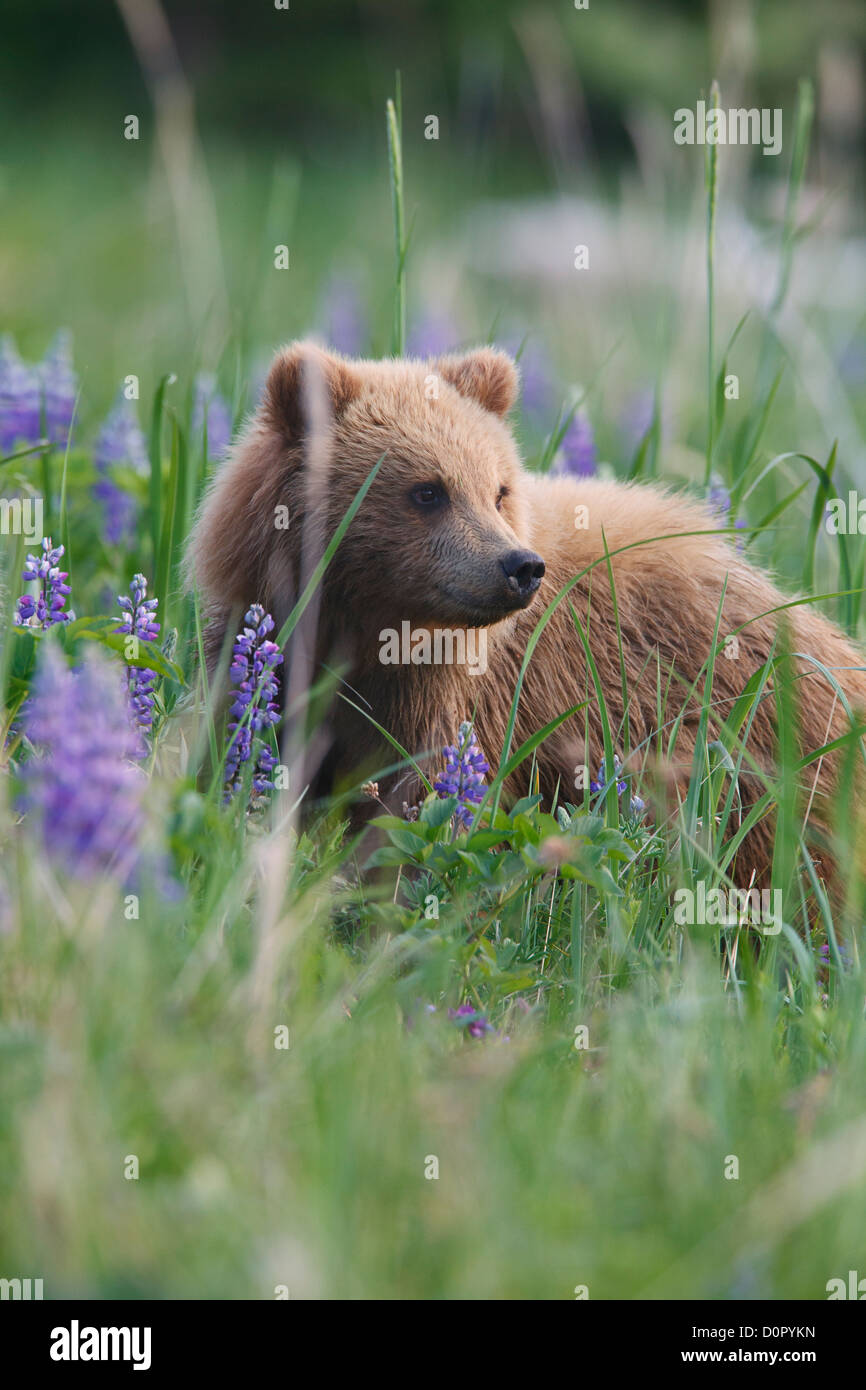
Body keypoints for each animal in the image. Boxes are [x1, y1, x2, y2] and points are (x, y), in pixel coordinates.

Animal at [187, 341, 866, 894]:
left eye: (498, 489)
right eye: (428, 490)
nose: (520, 566)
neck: (369, 629)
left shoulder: (461, 705)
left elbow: (422, 808)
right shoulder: (267, 661)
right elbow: (238, 755)